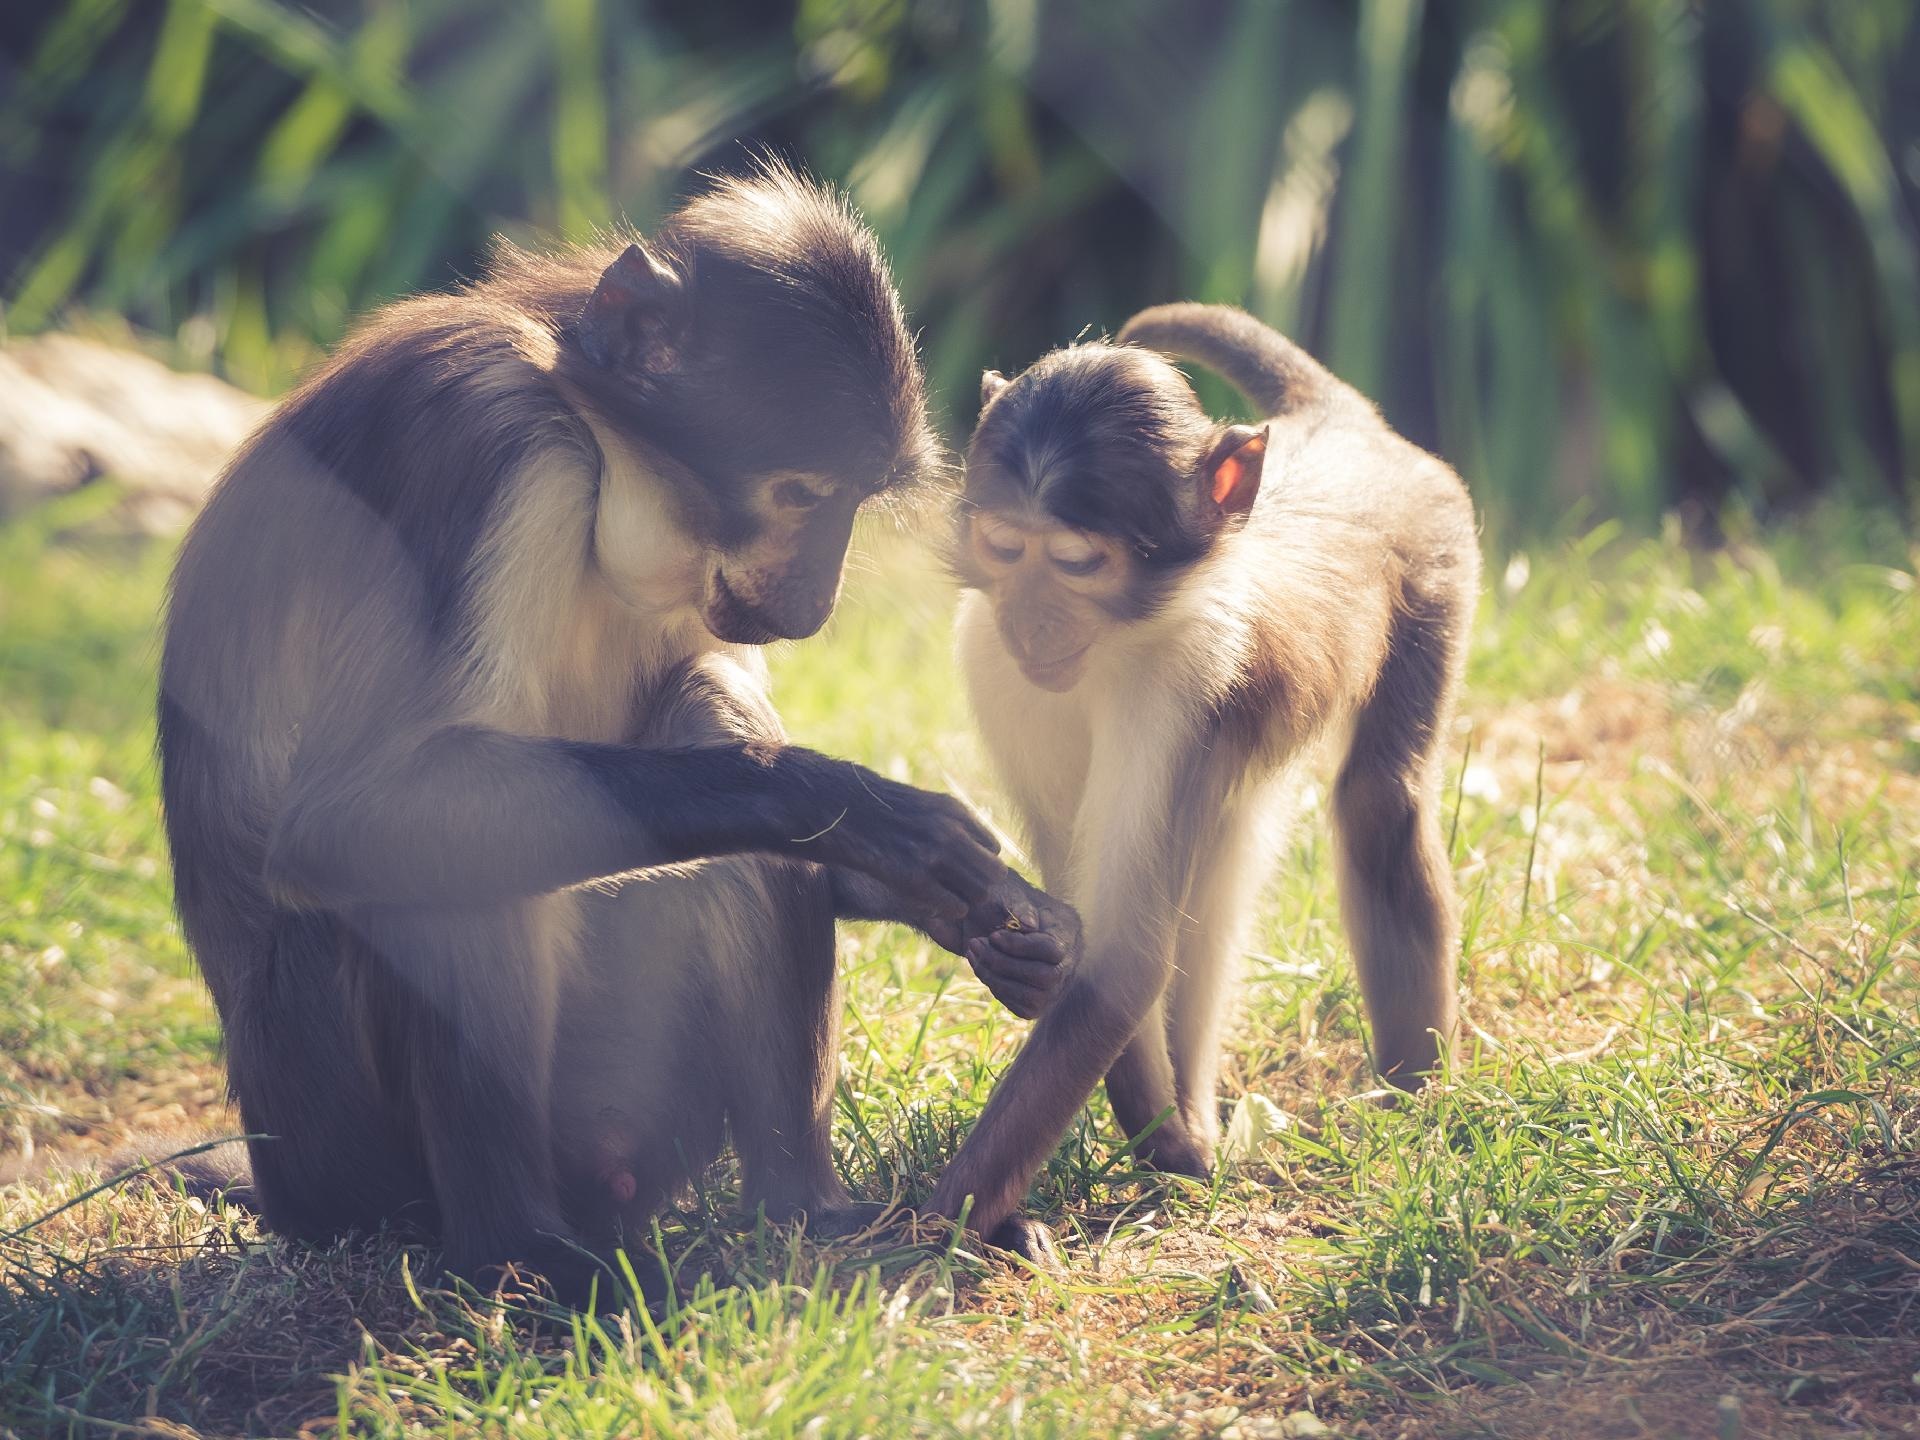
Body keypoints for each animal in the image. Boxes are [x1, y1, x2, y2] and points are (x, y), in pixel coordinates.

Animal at [155, 163, 1078, 1302]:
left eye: (854, 502)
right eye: (801, 495)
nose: (814, 602)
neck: (586, 435)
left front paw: (984, 918)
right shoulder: (486, 431)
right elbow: (344, 819)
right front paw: (854, 808)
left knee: (714, 769)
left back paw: (808, 1213)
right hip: (341, 1142)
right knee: (441, 866)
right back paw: (519, 1253)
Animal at [922, 303, 1480, 1257]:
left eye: (1075, 563)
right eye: (1004, 549)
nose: (1031, 622)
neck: (1114, 646)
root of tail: (1339, 419)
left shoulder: (1183, 680)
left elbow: (1125, 956)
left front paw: (925, 1228)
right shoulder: (996, 664)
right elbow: (1089, 926)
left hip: (1439, 553)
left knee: (1376, 802)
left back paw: (1411, 1095)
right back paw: (1196, 1126)